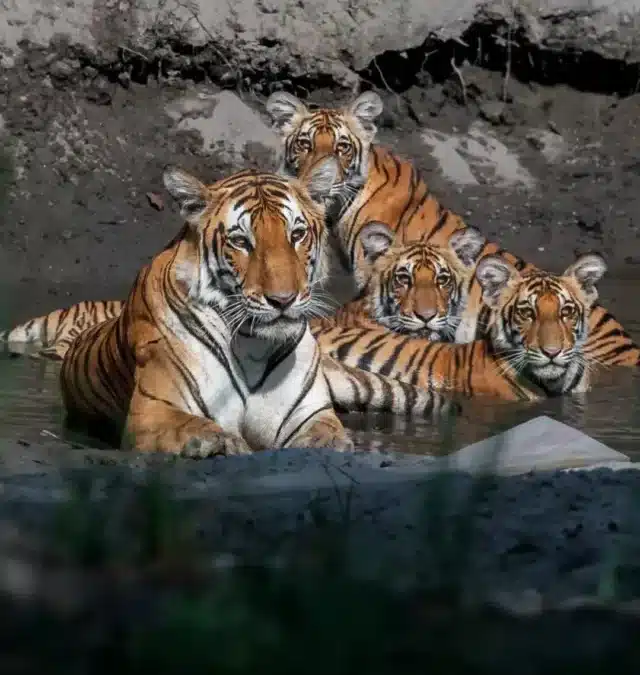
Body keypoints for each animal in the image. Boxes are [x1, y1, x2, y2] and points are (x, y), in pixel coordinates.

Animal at [55, 160, 458, 456]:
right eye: (240, 241)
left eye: (297, 234)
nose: (283, 300)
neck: (252, 345)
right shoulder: (152, 410)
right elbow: (194, 427)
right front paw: (218, 442)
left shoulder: (305, 415)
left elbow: (328, 435)